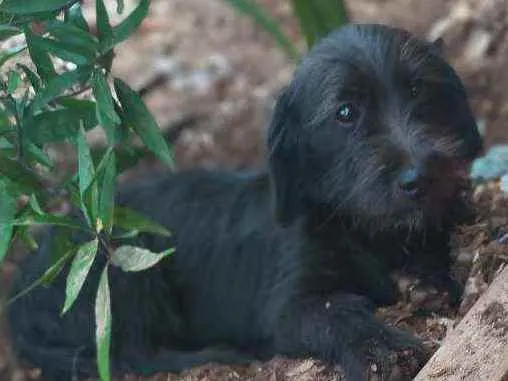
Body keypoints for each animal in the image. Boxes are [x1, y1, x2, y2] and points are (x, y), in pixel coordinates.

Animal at [8, 24, 484, 380]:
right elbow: (335, 312)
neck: (361, 228)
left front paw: (430, 279)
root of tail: (20, 289)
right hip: (120, 263)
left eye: (419, 90)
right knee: (134, 354)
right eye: (346, 113)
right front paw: (381, 353)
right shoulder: (287, 306)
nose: (421, 177)